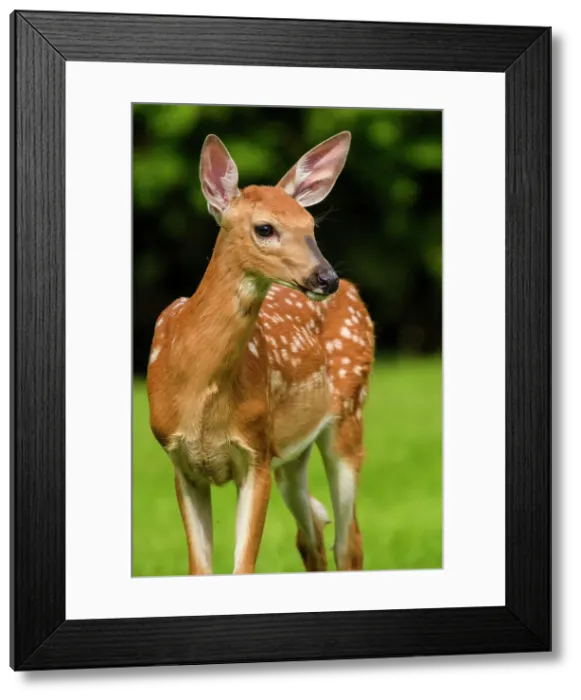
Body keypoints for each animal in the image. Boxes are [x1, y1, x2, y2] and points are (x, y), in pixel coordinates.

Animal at [146, 130, 375, 576]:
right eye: (265, 228)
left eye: (310, 226)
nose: (326, 278)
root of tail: (356, 292)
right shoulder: (181, 462)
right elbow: (201, 570)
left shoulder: (256, 452)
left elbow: (242, 568)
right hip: (293, 454)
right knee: (312, 538)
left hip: (348, 413)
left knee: (348, 543)